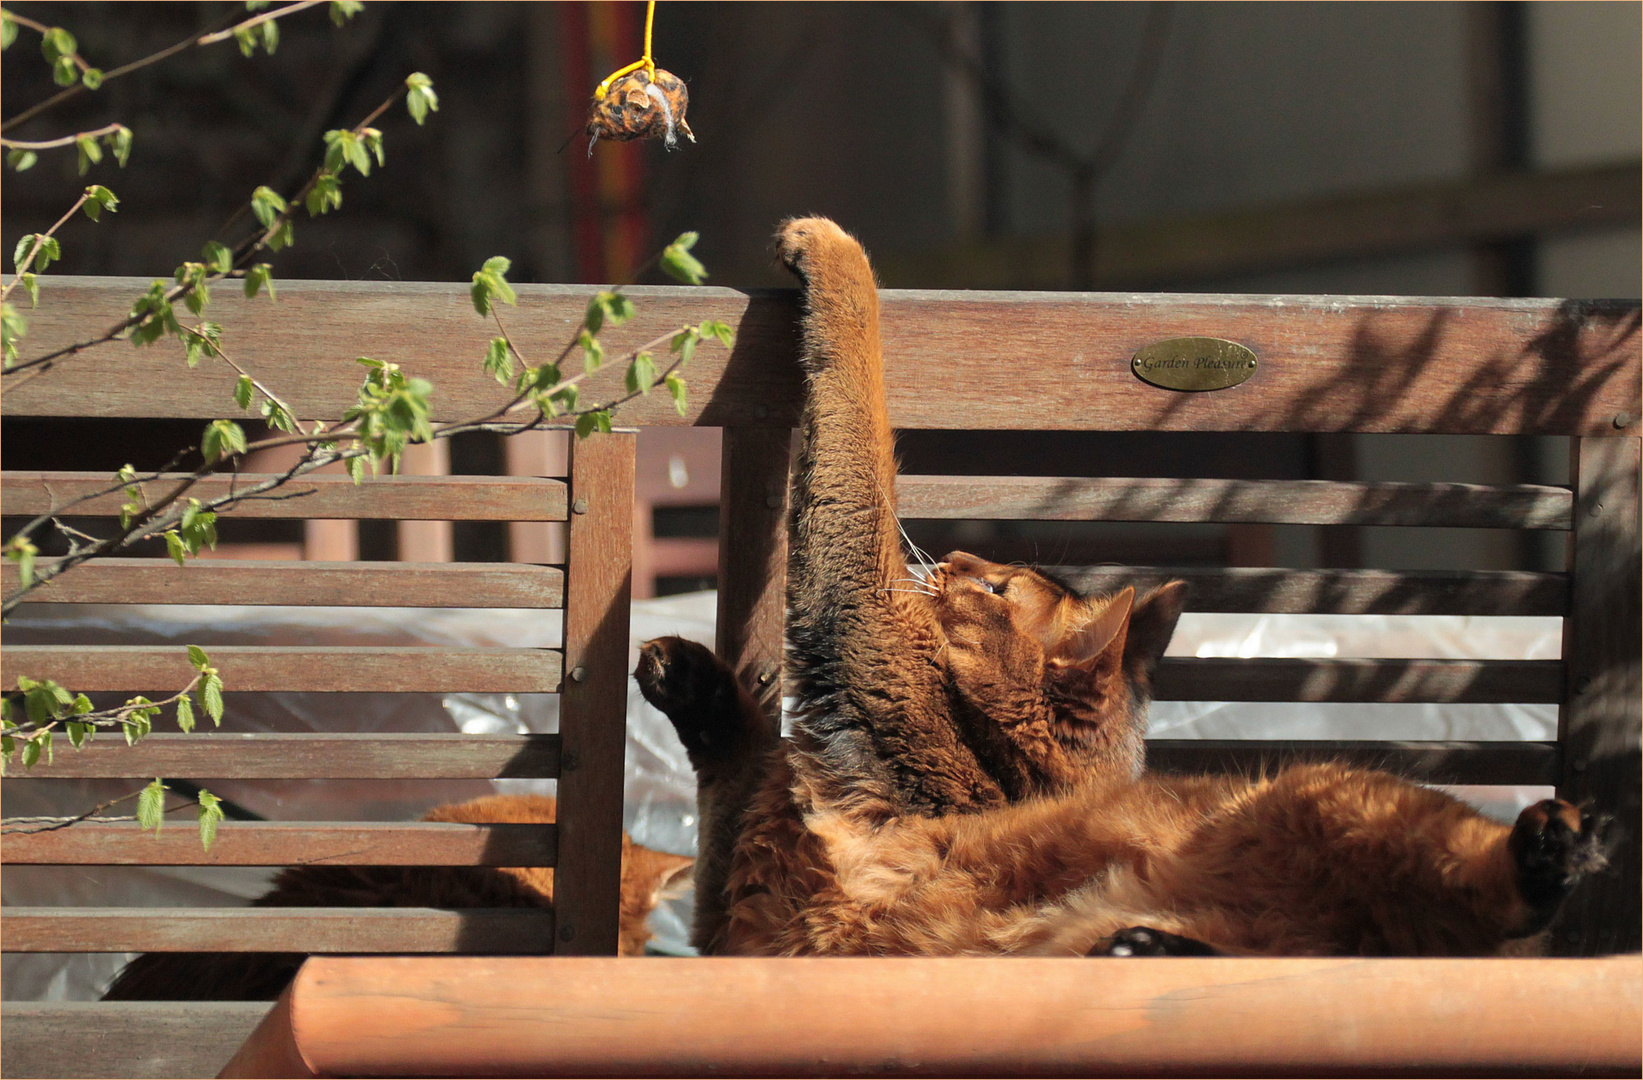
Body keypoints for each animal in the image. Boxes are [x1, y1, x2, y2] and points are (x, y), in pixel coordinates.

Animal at [630, 215, 1603, 953]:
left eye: (996, 591)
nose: (958, 560)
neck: (998, 769)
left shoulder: (860, 631)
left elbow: (859, 436)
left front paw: (830, 247)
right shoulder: (741, 912)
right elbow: (722, 801)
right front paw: (695, 687)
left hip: (1323, 785)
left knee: (1490, 896)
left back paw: (1548, 850)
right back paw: (1145, 943)